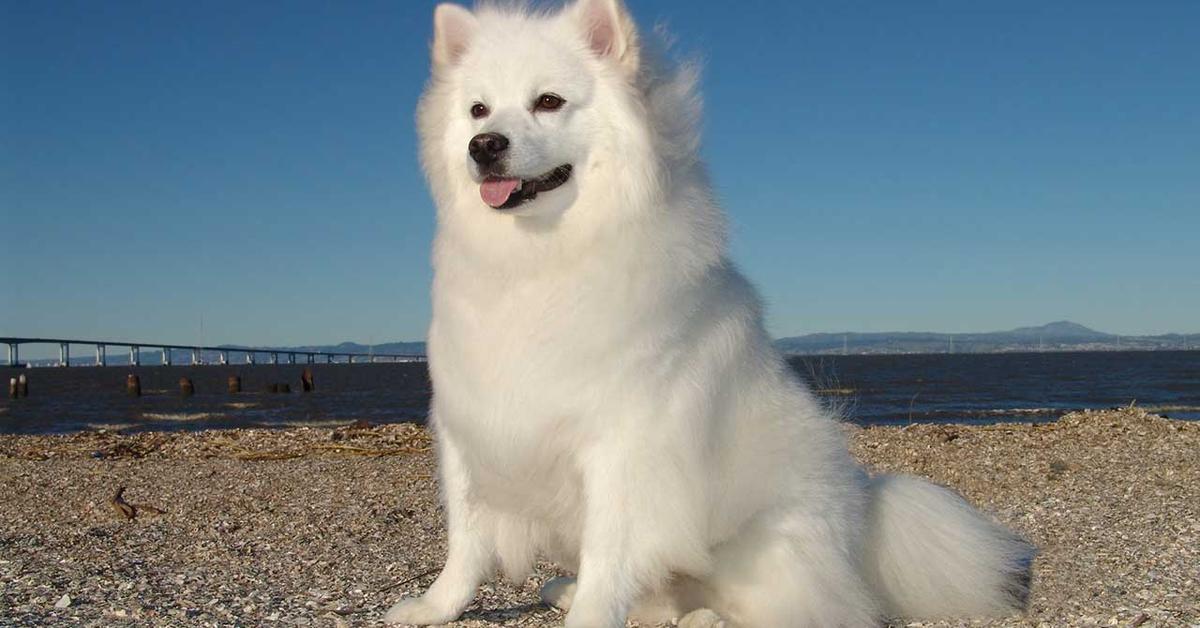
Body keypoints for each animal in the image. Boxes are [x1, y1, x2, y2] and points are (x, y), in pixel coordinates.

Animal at [384, 2, 1032, 624]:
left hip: (760, 543)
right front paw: (435, 608)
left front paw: (590, 616)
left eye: (549, 102)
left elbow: (607, 556)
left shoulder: (622, 448)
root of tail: (864, 524)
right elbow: (465, 544)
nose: (485, 145)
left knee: (798, 608)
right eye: (478, 111)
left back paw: (706, 617)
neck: (537, 261)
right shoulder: (469, 428)